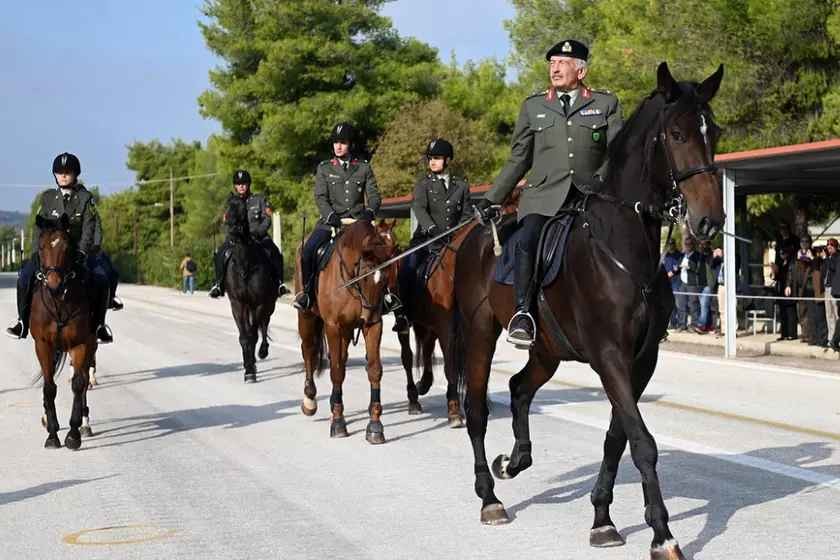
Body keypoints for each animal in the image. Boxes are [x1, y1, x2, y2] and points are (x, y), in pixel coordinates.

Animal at [30, 214, 97, 450]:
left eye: (67, 247)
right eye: (41, 247)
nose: (54, 284)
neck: (59, 301)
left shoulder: (81, 344)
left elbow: (78, 384)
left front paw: (73, 434)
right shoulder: (43, 345)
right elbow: (49, 387)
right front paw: (52, 434)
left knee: (85, 379)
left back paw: (85, 424)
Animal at [223, 195, 278, 382]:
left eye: (242, 209)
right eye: (227, 208)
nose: (233, 230)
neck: (245, 264)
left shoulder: (260, 303)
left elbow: (253, 335)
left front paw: (251, 368)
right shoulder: (237, 304)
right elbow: (244, 337)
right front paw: (248, 368)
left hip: (268, 305)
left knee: (264, 325)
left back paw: (262, 351)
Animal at [296, 221, 398, 444]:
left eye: (386, 274)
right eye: (366, 274)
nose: (369, 314)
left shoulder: (374, 326)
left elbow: (374, 369)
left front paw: (375, 426)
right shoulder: (333, 326)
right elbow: (336, 372)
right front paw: (338, 422)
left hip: (347, 330)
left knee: (340, 358)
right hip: (308, 317)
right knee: (309, 350)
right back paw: (310, 400)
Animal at [450, 62, 724, 560]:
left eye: (713, 130)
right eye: (676, 133)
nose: (710, 220)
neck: (623, 248)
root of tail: (473, 235)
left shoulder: (641, 360)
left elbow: (619, 437)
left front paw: (602, 519)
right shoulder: (609, 356)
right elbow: (642, 442)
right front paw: (663, 535)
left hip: (548, 350)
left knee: (520, 388)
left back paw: (515, 460)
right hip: (480, 333)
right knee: (476, 409)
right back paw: (489, 497)